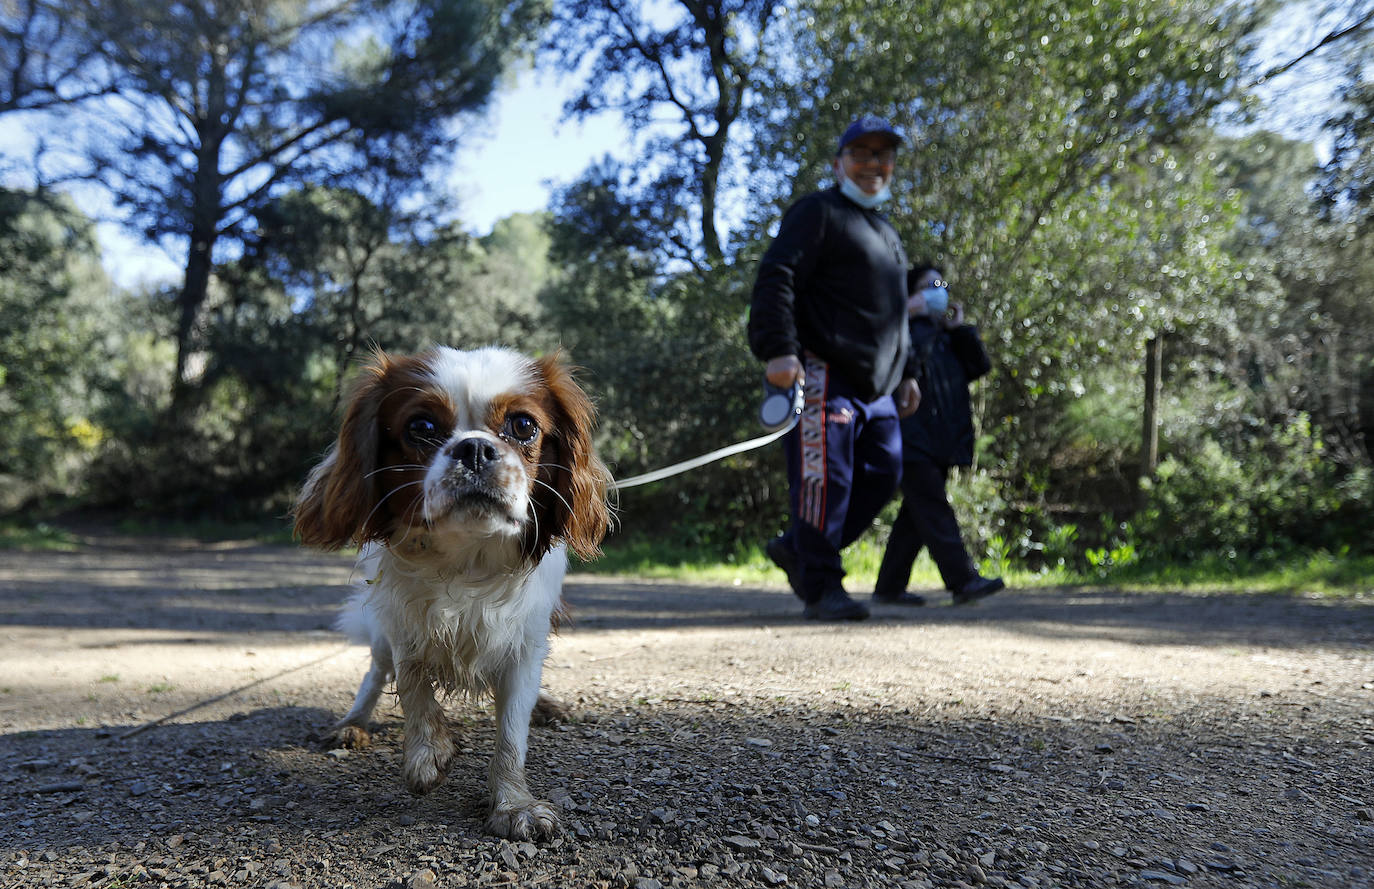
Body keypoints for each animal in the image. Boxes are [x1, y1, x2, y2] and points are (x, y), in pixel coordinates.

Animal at [295, 346, 612, 840]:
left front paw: (513, 805)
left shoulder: (524, 642)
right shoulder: (404, 623)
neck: (467, 559)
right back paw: (352, 724)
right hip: (380, 639)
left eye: (523, 425)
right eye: (421, 427)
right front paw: (429, 754)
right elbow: (413, 686)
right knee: (375, 674)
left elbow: (511, 735)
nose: (475, 448)